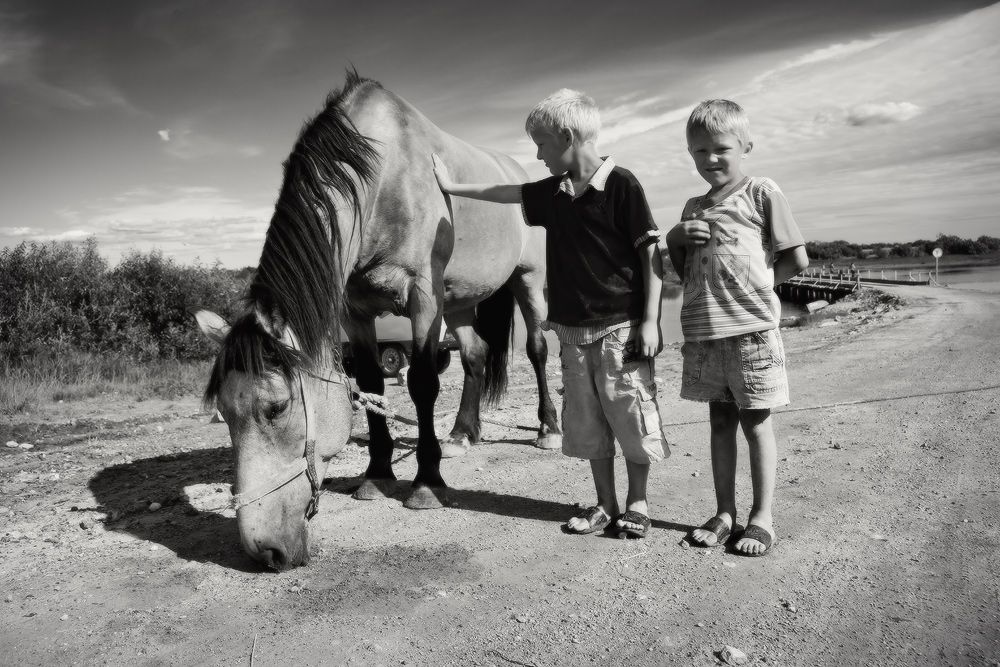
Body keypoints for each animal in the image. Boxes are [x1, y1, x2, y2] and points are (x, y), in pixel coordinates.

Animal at [191, 72, 560, 568]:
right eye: (225, 415)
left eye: (277, 408)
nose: (264, 551)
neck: (383, 177)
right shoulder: (356, 311)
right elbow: (369, 384)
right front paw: (378, 474)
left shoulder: (423, 298)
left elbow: (422, 383)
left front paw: (426, 482)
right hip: (460, 302)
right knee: (475, 356)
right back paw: (462, 434)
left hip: (528, 281)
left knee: (537, 350)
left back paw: (548, 428)